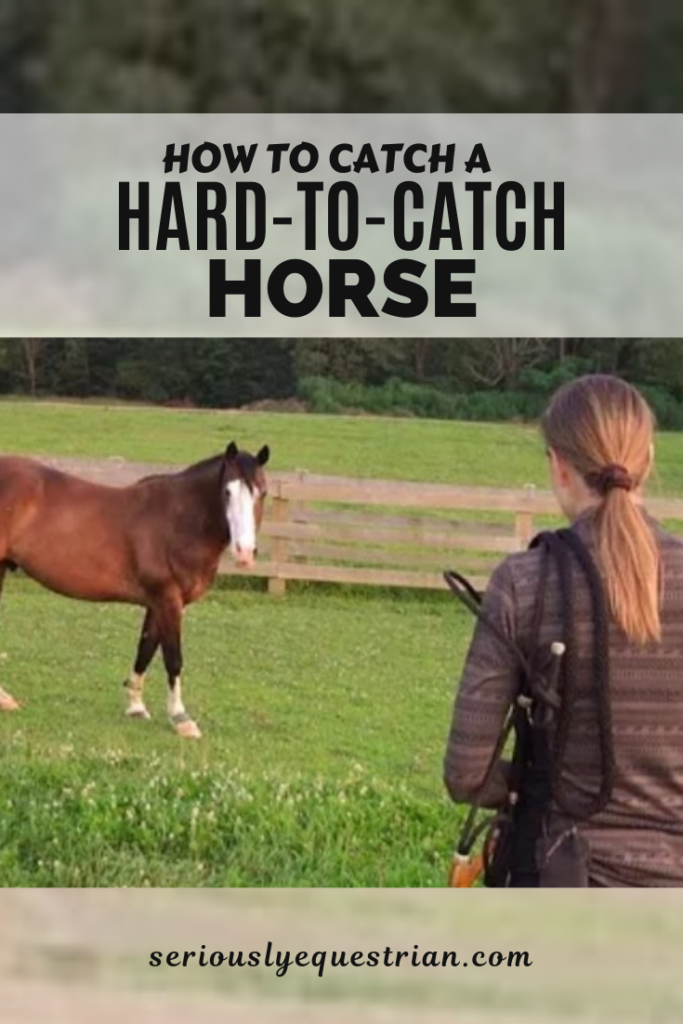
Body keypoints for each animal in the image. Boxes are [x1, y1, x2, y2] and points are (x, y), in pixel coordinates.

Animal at [0, 441, 270, 738]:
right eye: (227, 492)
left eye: (262, 492)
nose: (244, 553)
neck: (177, 520)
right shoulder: (168, 600)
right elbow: (173, 658)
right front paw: (181, 718)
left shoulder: (157, 603)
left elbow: (146, 649)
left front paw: (136, 707)